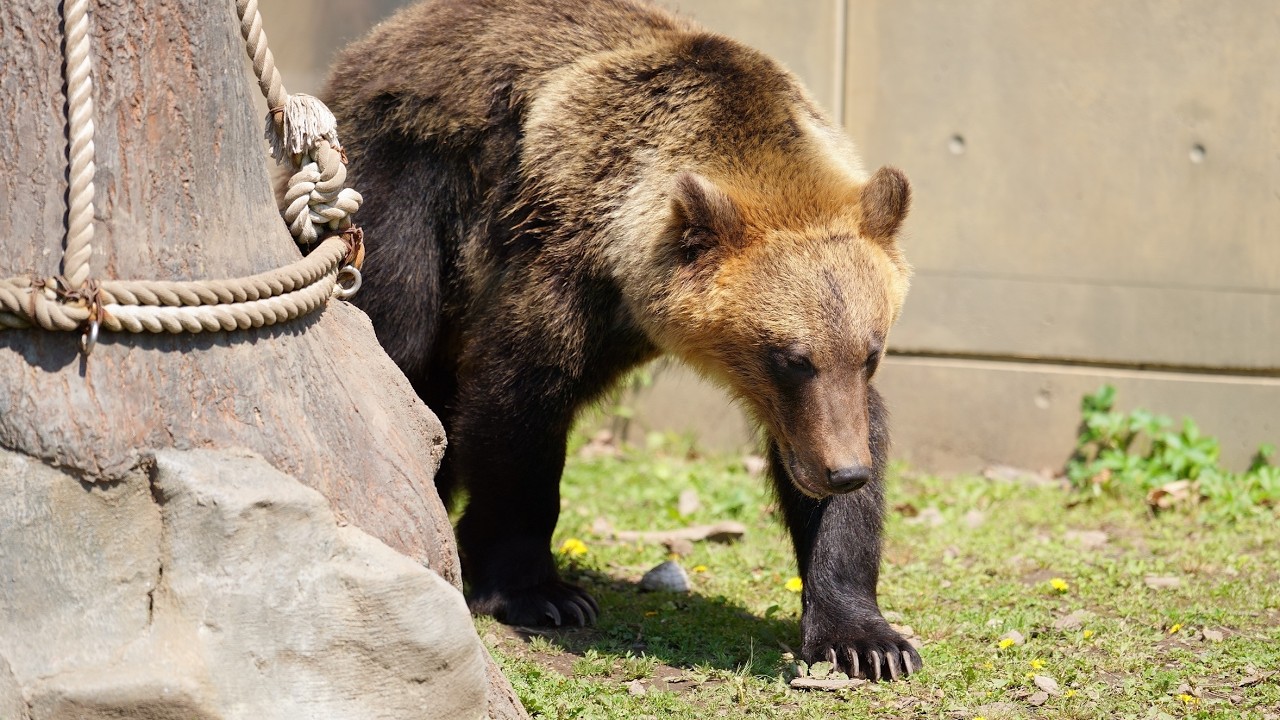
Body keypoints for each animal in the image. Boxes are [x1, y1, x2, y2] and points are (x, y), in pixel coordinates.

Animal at [324, 0, 919, 681]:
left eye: (870, 352)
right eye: (791, 358)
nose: (843, 471)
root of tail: (383, 36)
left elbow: (849, 457)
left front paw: (868, 640)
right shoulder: (552, 259)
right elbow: (517, 403)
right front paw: (542, 593)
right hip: (405, 181)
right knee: (401, 336)